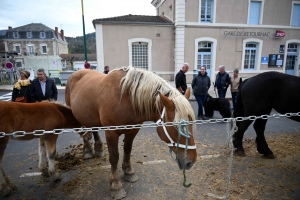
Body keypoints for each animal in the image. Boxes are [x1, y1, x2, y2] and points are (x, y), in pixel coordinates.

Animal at [65, 66, 197, 199]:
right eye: (176, 127)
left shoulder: (133, 130)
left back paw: (98, 149)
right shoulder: (111, 133)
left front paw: (129, 172)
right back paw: (87, 150)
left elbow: (127, 150)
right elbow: (114, 157)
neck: (125, 99)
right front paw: (115, 185)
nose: (191, 162)